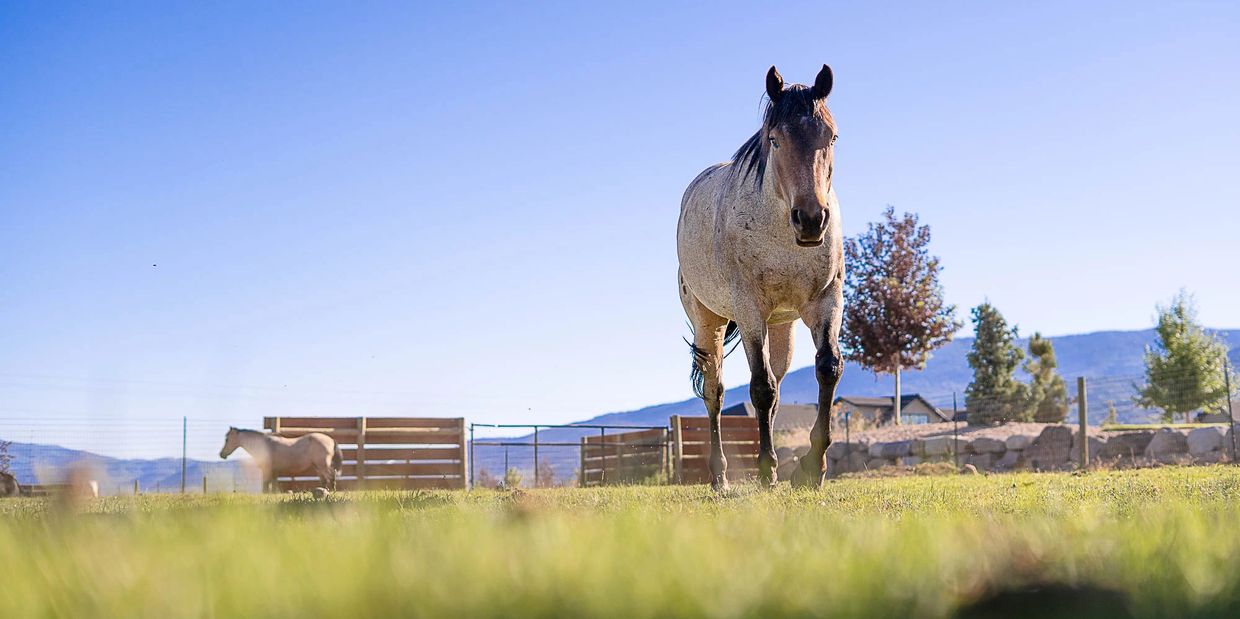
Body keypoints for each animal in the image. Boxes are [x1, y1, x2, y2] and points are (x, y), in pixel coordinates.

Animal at [677, 64, 843, 490]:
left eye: (831, 137)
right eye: (775, 140)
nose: (811, 219)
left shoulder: (826, 302)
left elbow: (827, 368)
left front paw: (812, 467)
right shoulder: (750, 310)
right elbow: (760, 387)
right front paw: (767, 469)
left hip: (782, 324)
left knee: (778, 383)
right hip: (709, 320)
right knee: (715, 391)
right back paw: (720, 476)